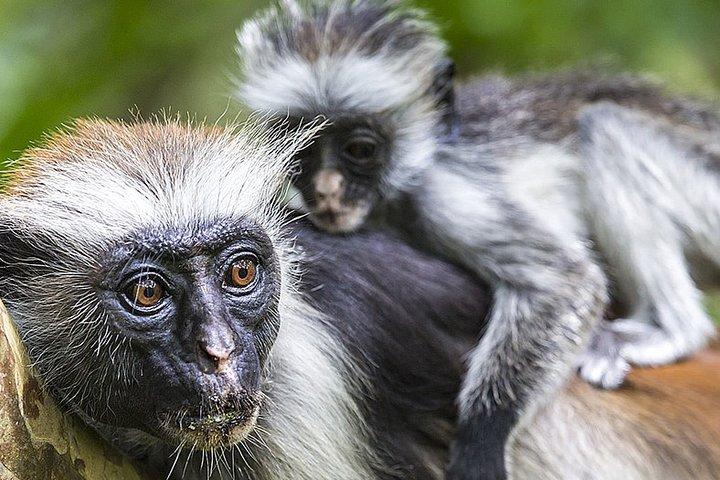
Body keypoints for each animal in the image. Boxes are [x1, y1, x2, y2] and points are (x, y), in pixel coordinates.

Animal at [234, 1, 720, 478]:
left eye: (360, 150)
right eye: (303, 151)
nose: (327, 192)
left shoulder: (442, 196)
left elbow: (565, 281)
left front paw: (482, 444)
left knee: (605, 127)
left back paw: (675, 331)